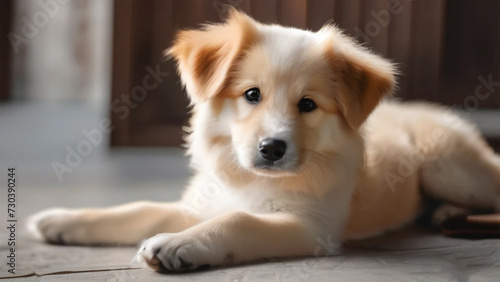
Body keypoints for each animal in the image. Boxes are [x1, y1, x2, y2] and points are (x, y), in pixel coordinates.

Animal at [28, 9, 500, 272]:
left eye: (307, 104)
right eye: (252, 95)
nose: (272, 149)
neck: (251, 181)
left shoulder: (311, 227)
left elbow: (242, 220)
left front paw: (180, 245)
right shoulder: (200, 203)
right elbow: (140, 209)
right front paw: (62, 221)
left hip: (450, 167)